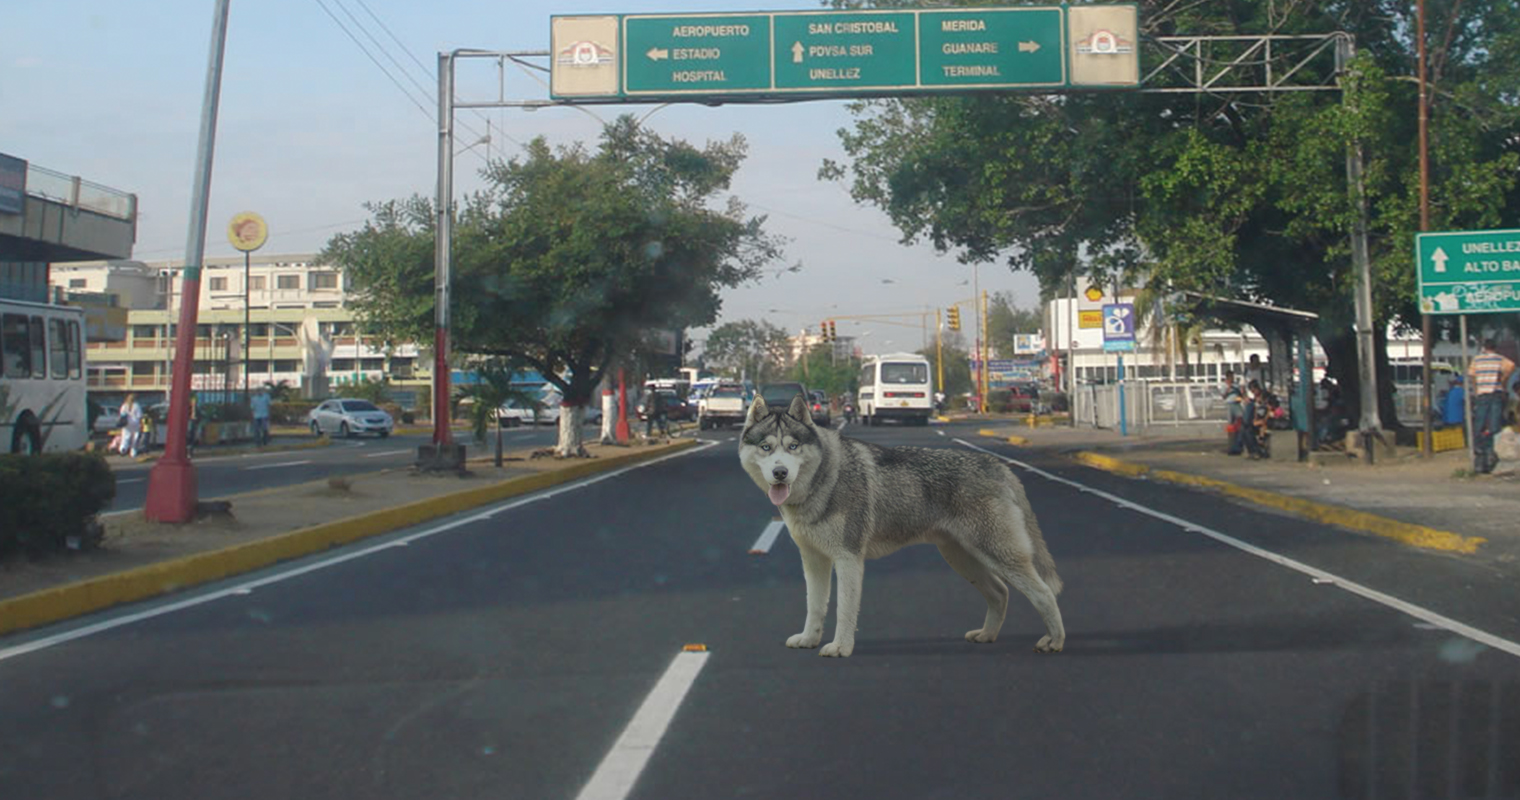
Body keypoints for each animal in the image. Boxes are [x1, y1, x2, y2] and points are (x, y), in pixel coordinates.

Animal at [741, 395, 1064, 660]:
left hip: (999, 555)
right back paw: (987, 635)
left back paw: (1054, 641)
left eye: (793, 446)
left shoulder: (848, 559)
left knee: (1044, 593)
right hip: (962, 559)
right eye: (766, 447)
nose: (780, 473)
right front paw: (809, 639)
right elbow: (816, 606)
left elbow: (844, 609)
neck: (824, 479)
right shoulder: (814, 561)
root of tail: (1000, 467)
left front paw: (840, 648)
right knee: (1000, 593)